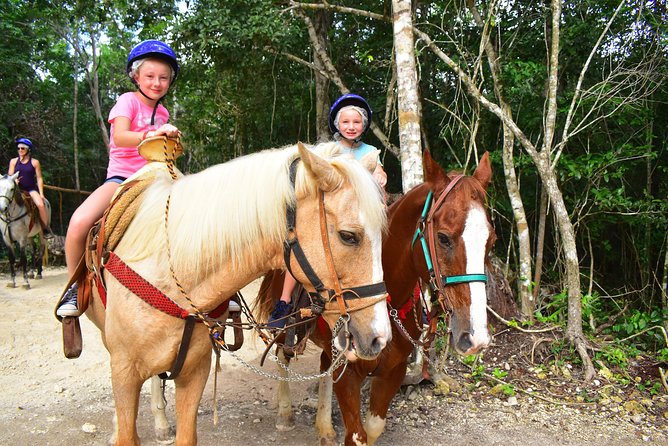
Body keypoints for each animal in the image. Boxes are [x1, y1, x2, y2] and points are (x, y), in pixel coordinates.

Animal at [78, 141, 392, 445]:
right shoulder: (125, 372)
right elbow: (127, 431)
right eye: (348, 236)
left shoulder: (194, 372)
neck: (170, 271)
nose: (379, 337)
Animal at [257, 150, 495, 445]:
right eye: (443, 238)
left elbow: (372, 429)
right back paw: (285, 414)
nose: (475, 336)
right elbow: (356, 435)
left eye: (491, 241)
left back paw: (324, 427)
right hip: (286, 328)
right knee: (282, 354)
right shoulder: (348, 374)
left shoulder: (393, 372)